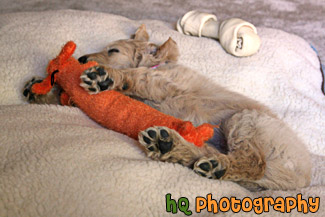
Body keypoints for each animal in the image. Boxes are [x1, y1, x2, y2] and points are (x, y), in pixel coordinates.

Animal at [22, 25, 308, 190]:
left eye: (113, 51)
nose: (81, 59)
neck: (159, 66)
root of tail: (302, 178)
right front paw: (40, 90)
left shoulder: (161, 83)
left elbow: (135, 77)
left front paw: (107, 77)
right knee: (207, 154)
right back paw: (171, 147)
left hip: (247, 120)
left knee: (253, 162)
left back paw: (208, 161)